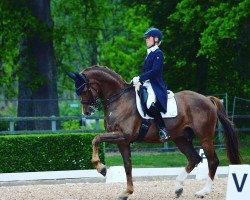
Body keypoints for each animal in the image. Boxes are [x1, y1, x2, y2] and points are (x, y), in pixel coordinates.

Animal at [67, 65, 240, 198]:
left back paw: (203, 191)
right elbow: (127, 165)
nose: (87, 112)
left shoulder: (122, 135)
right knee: (194, 158)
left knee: (212, 161)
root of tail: (206, 98)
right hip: (181, 138)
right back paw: (178, 187)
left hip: (204, 137)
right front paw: (127, 192)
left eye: (84, 90)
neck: (119, 99)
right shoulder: (123, 141)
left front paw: (101, 168)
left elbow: (96, 139)